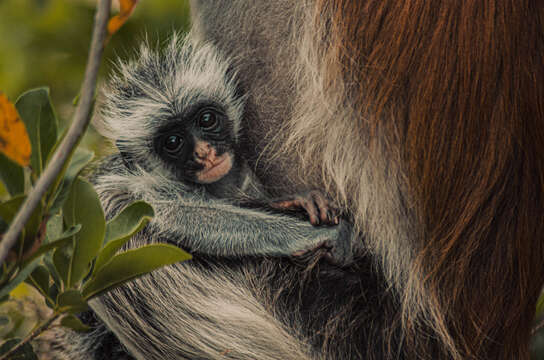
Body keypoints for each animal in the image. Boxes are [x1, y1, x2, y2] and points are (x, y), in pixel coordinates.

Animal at [94, 33, 352, 264]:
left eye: (207, 119)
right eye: (173, 142)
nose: (204, 152)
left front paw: (295, 201)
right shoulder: (139, 183)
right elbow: (168, 210)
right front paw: (316, 235)